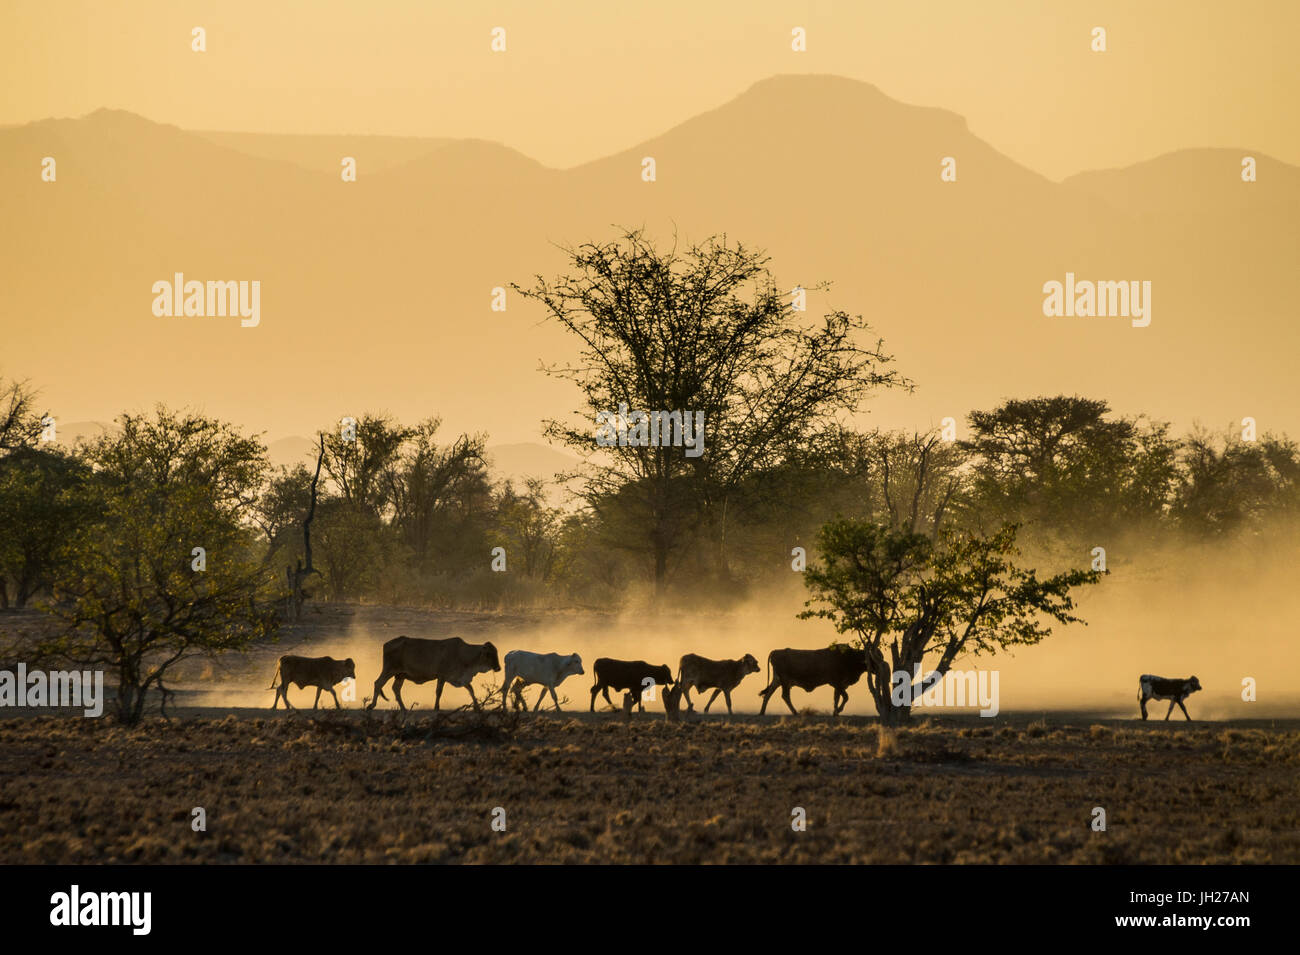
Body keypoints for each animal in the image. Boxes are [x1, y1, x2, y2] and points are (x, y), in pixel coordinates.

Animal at [371, 634, 506, 712]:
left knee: (396, 689)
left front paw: (477, 707)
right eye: (488, 654)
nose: (498, 668)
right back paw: (372, 705)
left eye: (496, 652)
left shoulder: (460, 678)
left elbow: (471, 690)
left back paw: (404, 708)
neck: (462, 654)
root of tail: (387, 643)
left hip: (400, 675)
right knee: (378, 683)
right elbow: (439, 692)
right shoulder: (442, 676)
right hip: (389, 670)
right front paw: (436, 707)